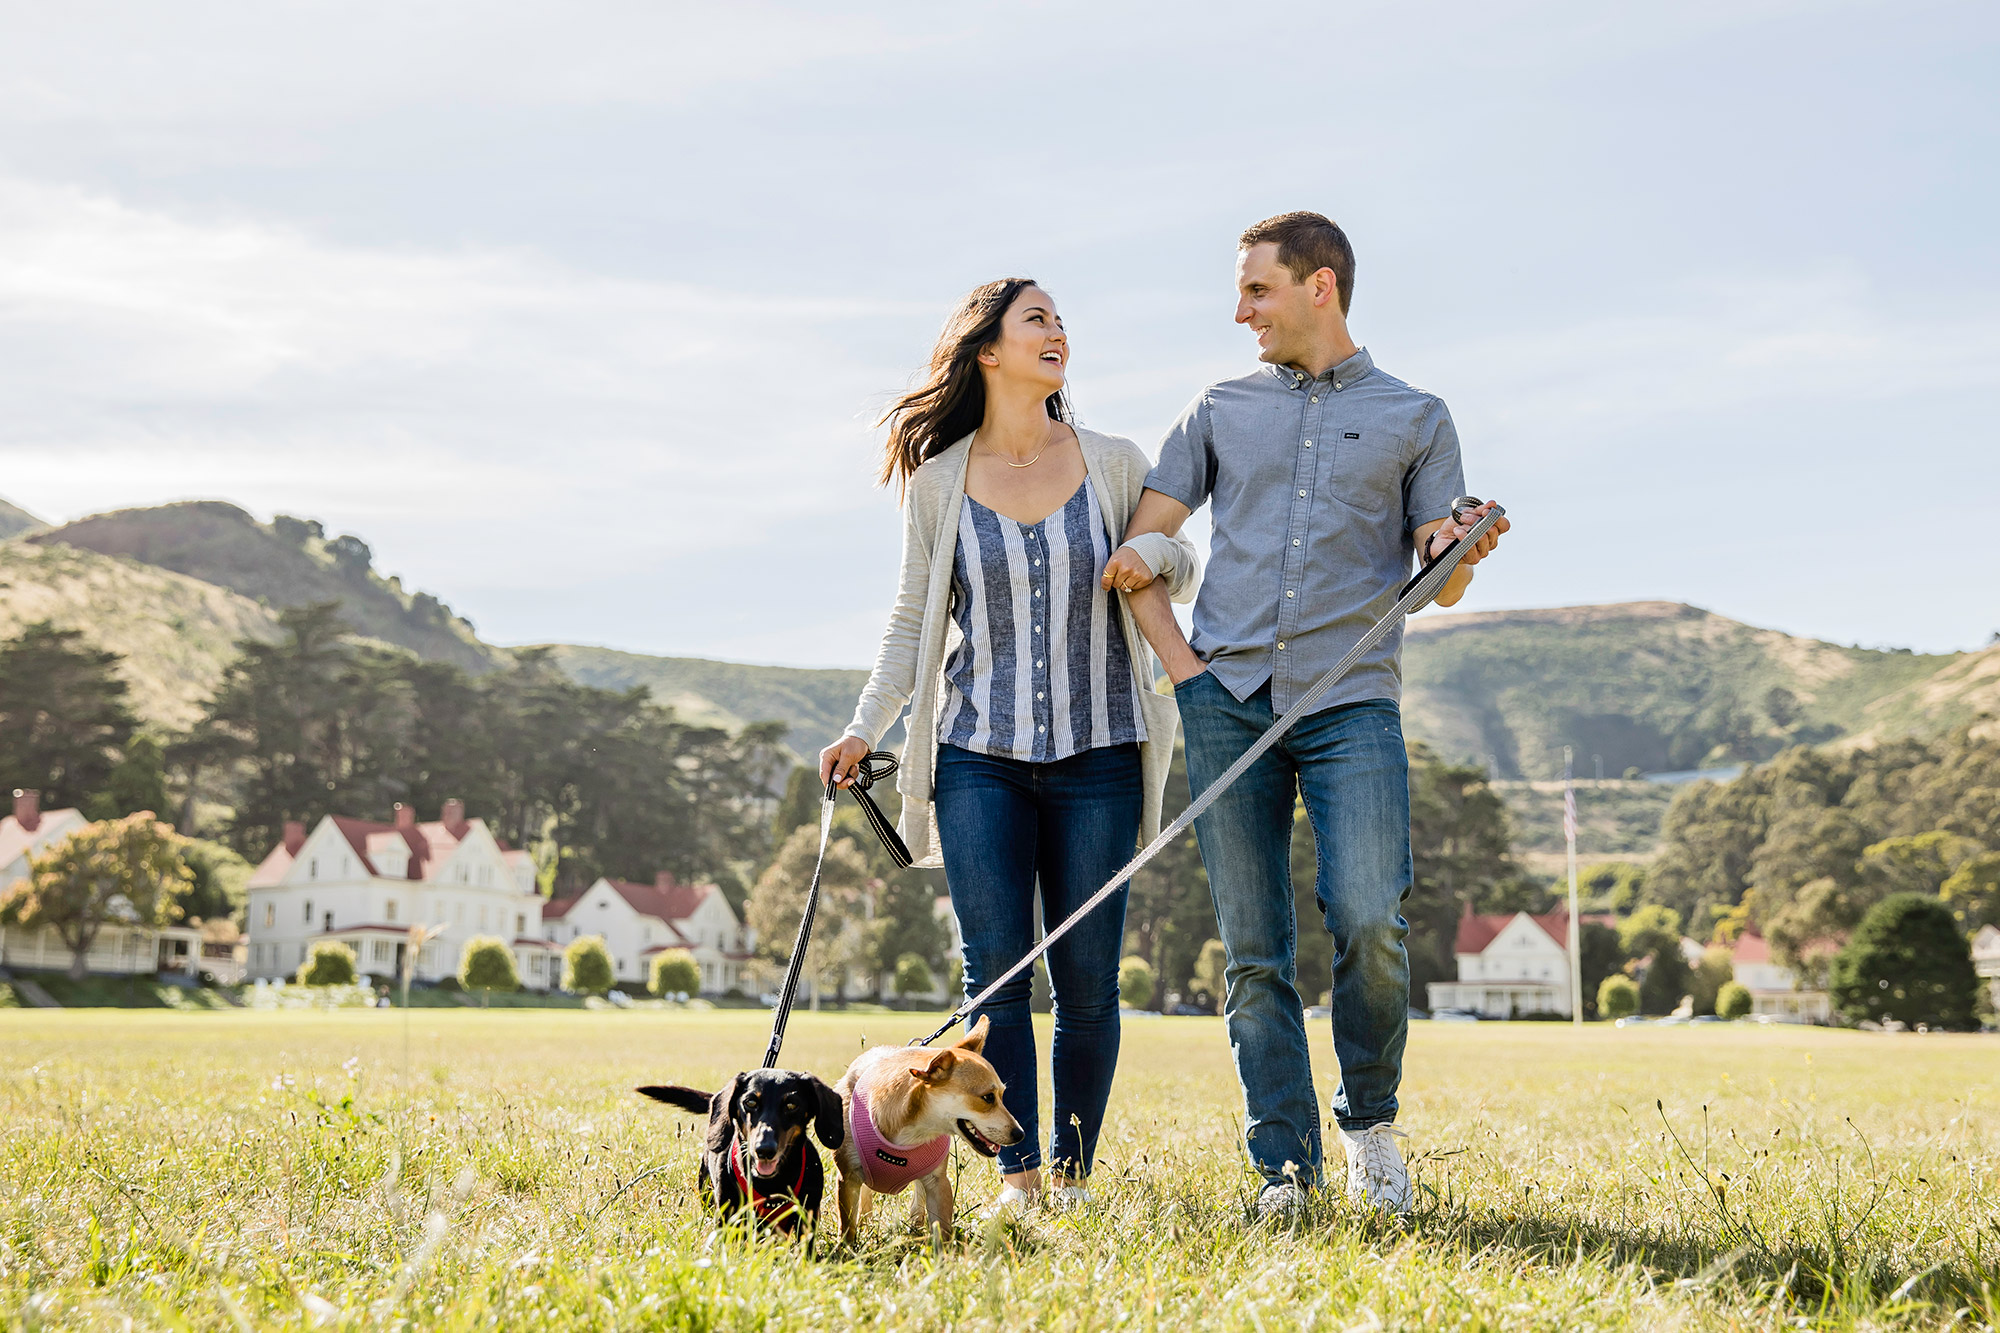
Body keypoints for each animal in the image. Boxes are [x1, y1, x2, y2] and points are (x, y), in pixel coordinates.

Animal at [640, 1064, 844, 1232]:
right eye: (750, 1102)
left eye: (791, 1104)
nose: (764, 1150)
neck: (771, 1184)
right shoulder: (727, 1214)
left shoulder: (808, 1215)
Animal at [828, 1012, 1024, 1240]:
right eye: (988, 1098)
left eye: (1002, 1095)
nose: (1020, 1134)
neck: (913, 1130)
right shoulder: (847, 1179)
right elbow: (847, 1226)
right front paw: (847, 1247)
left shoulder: (938, 1183)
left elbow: (942, 1229)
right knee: (867, 1200)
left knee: (917, 1198)